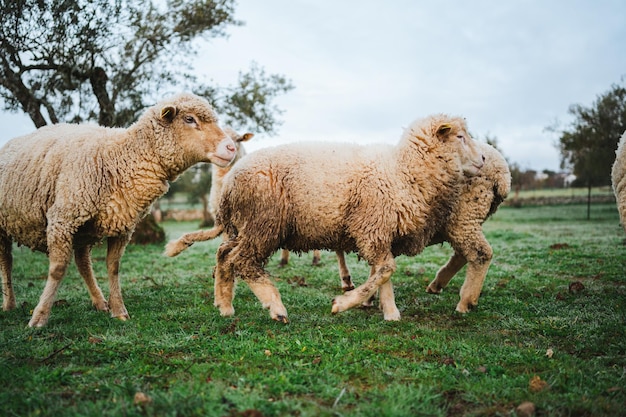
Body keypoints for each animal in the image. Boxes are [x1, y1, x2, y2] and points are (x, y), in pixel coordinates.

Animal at [0, 92, 235, 326]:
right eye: (189, 119)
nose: (231, 147)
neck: (117, 157)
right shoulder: (62, 219)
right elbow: (57, 270)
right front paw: (39, 317)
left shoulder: (122, 224)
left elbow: (113, 267)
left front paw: (119, 310)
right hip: (8, 224)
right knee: (7, 260)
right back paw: (9, 304)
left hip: (82, 230)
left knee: (83, 262)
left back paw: (99, 301)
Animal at [165, 114, 482, 322]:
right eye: (460, 137)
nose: (482, 160)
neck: (404, 170)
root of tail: (231, 180)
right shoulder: (372, 226)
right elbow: (386, 269)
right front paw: (345, 303)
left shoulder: (380, 230)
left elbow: (383, 272)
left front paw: (388, 311)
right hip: (262, 222)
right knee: (242, 262)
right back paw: (275, 308)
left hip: (243, 226)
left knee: (223, 254)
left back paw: (224, 304)